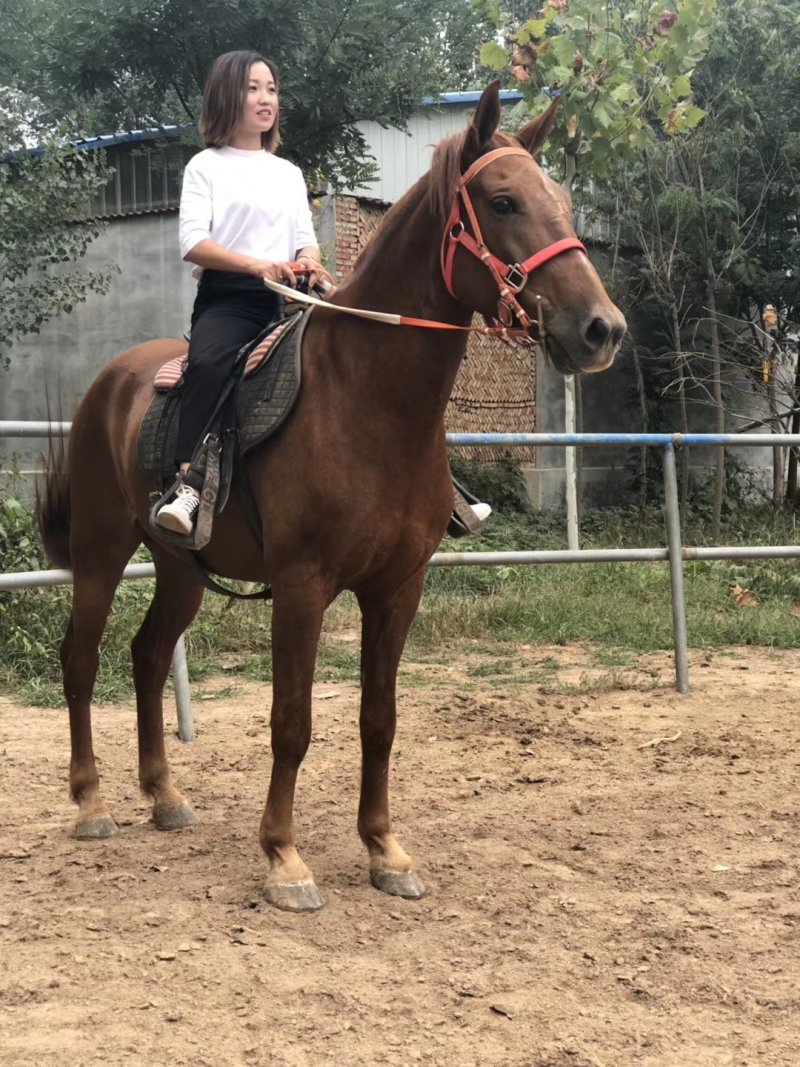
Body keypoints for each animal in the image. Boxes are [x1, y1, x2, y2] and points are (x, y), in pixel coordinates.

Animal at [37, 83, 626, 912]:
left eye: (564, 202)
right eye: (504, 201)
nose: (602, 330)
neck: (367, 400)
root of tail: (110, 381)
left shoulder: (397, 588)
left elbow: (379, 718)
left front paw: (384, 849)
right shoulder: (302, 585)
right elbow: (292, 720)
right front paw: (284, 858)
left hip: (180, 568)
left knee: (148, 655)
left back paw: (165, 796)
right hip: (100, 552)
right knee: (82, 657)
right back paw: (91, 801)